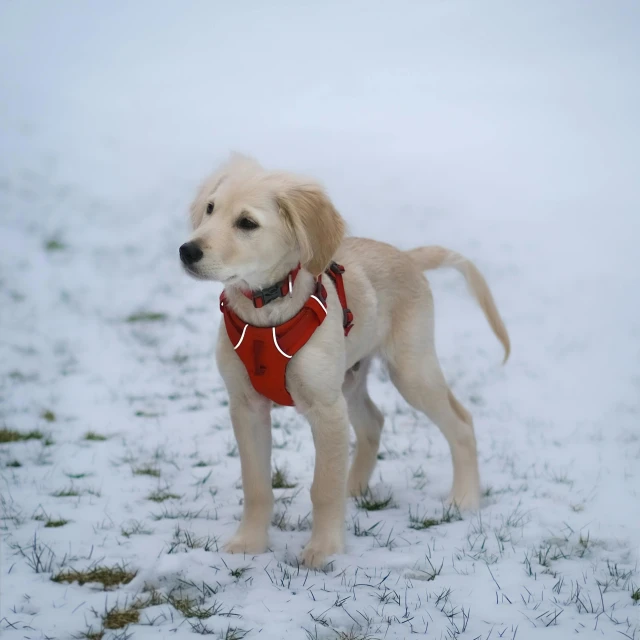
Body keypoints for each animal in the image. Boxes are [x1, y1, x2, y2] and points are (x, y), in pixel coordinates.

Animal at [181, 152, 510, 568]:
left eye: (247, 223)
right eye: (210, 209)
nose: (186, 251)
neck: (267, 309)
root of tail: (406, 257)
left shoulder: (326, 408)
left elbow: (323, 486)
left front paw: (324, 549)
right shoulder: (246, 405)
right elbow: (256, 485)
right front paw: (249, 543)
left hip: (411, 371)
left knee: (462, 422)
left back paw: (464, 498)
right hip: (349, 379)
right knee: (373, 422)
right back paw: (354, 487)